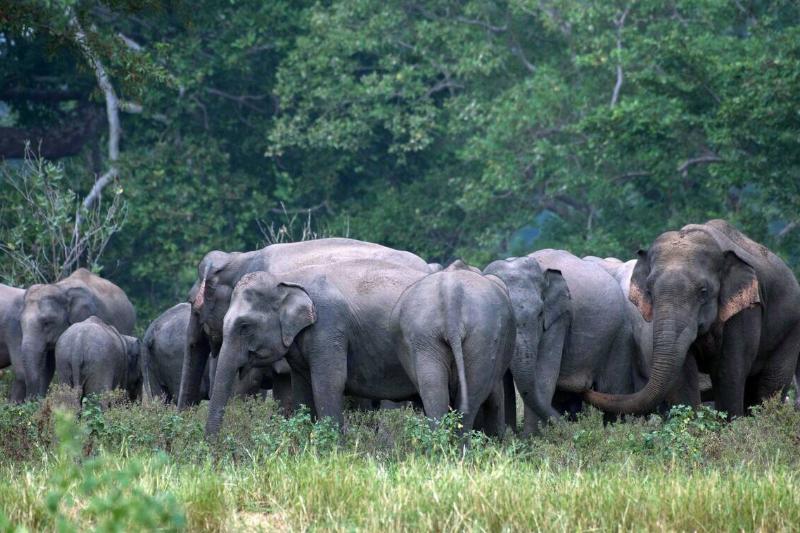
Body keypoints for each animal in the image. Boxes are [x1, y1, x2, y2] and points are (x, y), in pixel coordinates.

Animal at [205, 259, 428, 436]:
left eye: (244, 326)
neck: (287, 280)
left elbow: (329, 382)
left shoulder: (329, 326)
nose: (213, 448)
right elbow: (302, 388)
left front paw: (336, 452)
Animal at [392, 260, 516, 435]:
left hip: (427, 337)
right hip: (481, 338)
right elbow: (495, 398)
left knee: (436, 395)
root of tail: (451, 297)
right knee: (469, 400)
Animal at [486, 250, 646, 431]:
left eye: (540, 314)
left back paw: (615, 430)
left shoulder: (559, 319)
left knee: (613, 389)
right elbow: (504, 384)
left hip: (620, 335)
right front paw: (513, 436)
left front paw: (531, 438)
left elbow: (544, 376)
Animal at [585, 219, 800, 418]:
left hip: (789, 330)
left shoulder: (745, 312)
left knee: (769, 387)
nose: (587, 386)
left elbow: (729, 372)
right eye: (649, 290)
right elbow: (682, 375)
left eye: (703, 291)